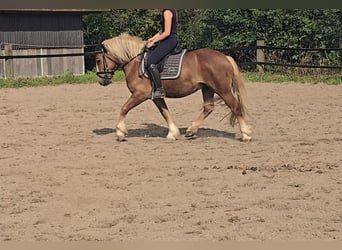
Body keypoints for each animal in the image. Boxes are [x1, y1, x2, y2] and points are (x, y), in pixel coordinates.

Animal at [95, 33, 252, 142]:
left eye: (98, 60)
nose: (102, 81)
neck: (135, 62)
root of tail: (225, 57)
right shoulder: (155, 96)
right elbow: (165, 112)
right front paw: (173, 133)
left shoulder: (139, 94)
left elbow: (124, 108)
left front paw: (120, 133)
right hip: (207, 88)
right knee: (208, 108)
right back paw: (191, 130)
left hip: (223, 89)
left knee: (235, 107)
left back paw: (246, 135)